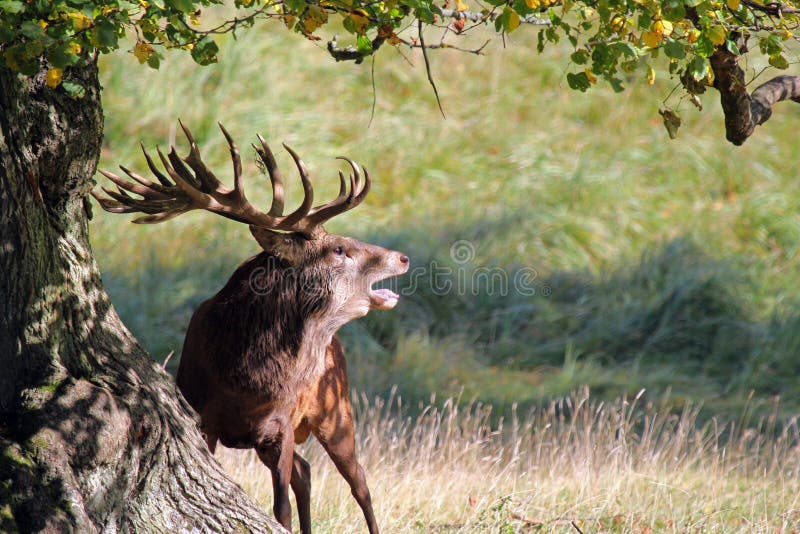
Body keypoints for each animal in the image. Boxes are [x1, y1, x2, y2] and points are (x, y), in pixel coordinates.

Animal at [93, 122, 406, 534]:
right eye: (338, 249)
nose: (402, 257)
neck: (246, 383)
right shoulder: (203, 416)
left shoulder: (282, 424)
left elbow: (281, 508)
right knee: (309, 472)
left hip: (336, 407)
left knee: (359, 483)